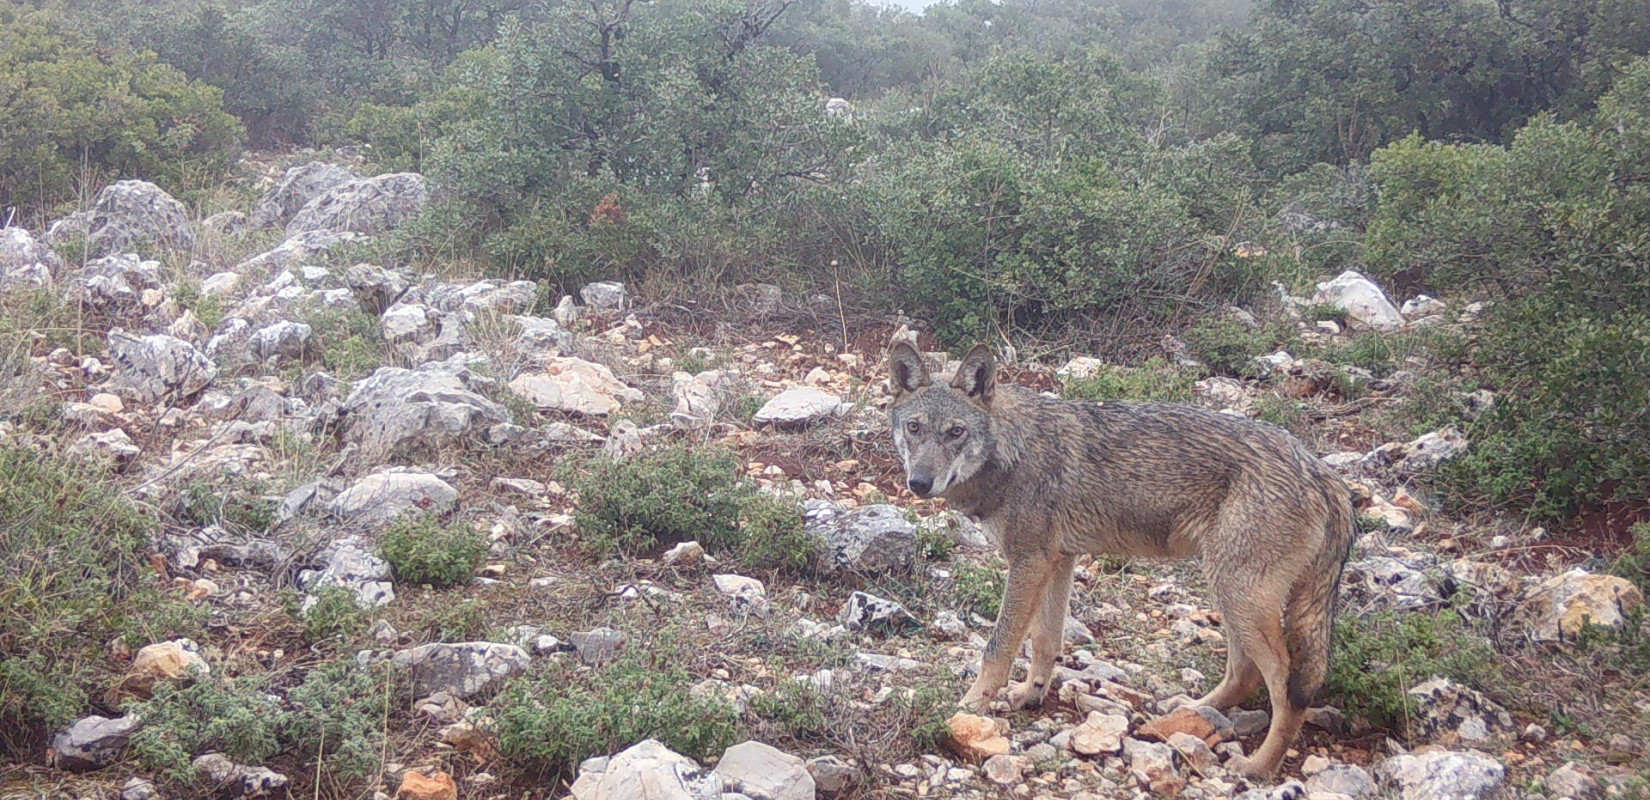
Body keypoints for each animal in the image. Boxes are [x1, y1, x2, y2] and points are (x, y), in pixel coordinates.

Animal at [891, 339, 1353, 775]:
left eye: (955, 432)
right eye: (914, 428)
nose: (919, 483)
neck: (1012, 451)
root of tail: (1324, 474)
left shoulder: (1029, 562)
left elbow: (998, 648)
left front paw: (970, 707)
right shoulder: (1058, 560)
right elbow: (1045, 641)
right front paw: (1030, 695)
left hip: (1237, 594)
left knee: (1287, 686)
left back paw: (1259, 766)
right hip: (1231, 594)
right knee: (1245, 673)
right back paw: (1191, 710)